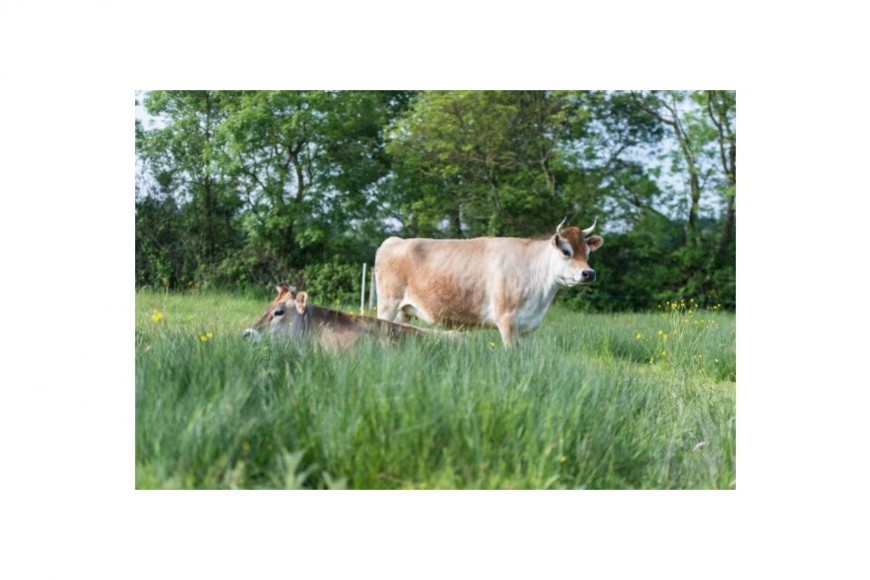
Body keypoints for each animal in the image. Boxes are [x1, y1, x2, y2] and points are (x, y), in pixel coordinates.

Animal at [374, 218, 608, 344]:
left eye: (588, 252)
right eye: (566, 251)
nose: (589, 273)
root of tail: (395, 240)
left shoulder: (529, 328)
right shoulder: (506, 320)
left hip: (403, 313)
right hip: (388, 304)